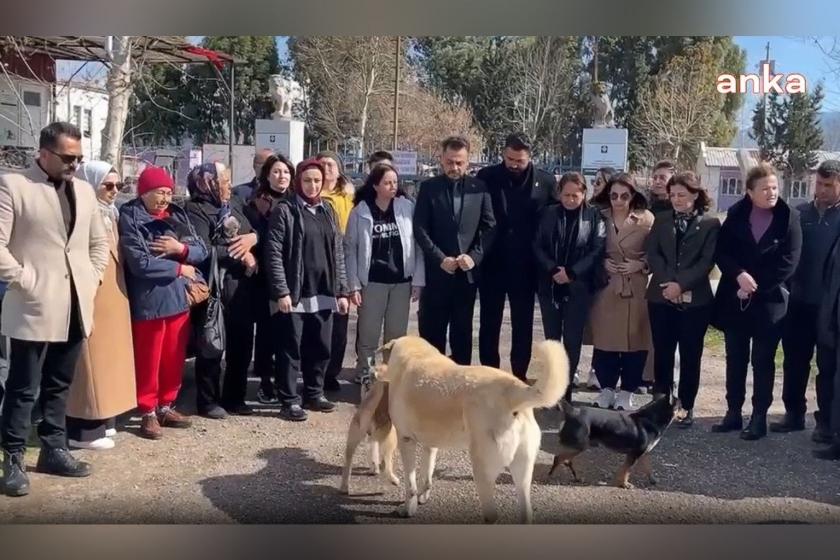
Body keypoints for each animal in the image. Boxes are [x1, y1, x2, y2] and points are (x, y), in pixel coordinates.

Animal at [378, 336, 568, 524]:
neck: (416, 353)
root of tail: (513, 391)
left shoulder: (406, 440)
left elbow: (410, 484)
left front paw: (408, 509)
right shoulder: (430, 444)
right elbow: (427, 474)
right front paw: (423, 496)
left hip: (482, 469)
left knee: (492, 515)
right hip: (522, 472)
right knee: (525, 512)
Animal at [548, 394, 680, 486]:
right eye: (681, 407)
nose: (684, 412)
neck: (652, 418)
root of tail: (572, 411)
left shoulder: (644, 453)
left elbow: (648, 468)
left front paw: (652, 480)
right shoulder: (634, 455)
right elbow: (626, 471)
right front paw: (625, 484)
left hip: (577, 446)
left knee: (566, 460)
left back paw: (576, 478)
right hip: (579, 446)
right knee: (558, 458)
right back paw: (551, 476)